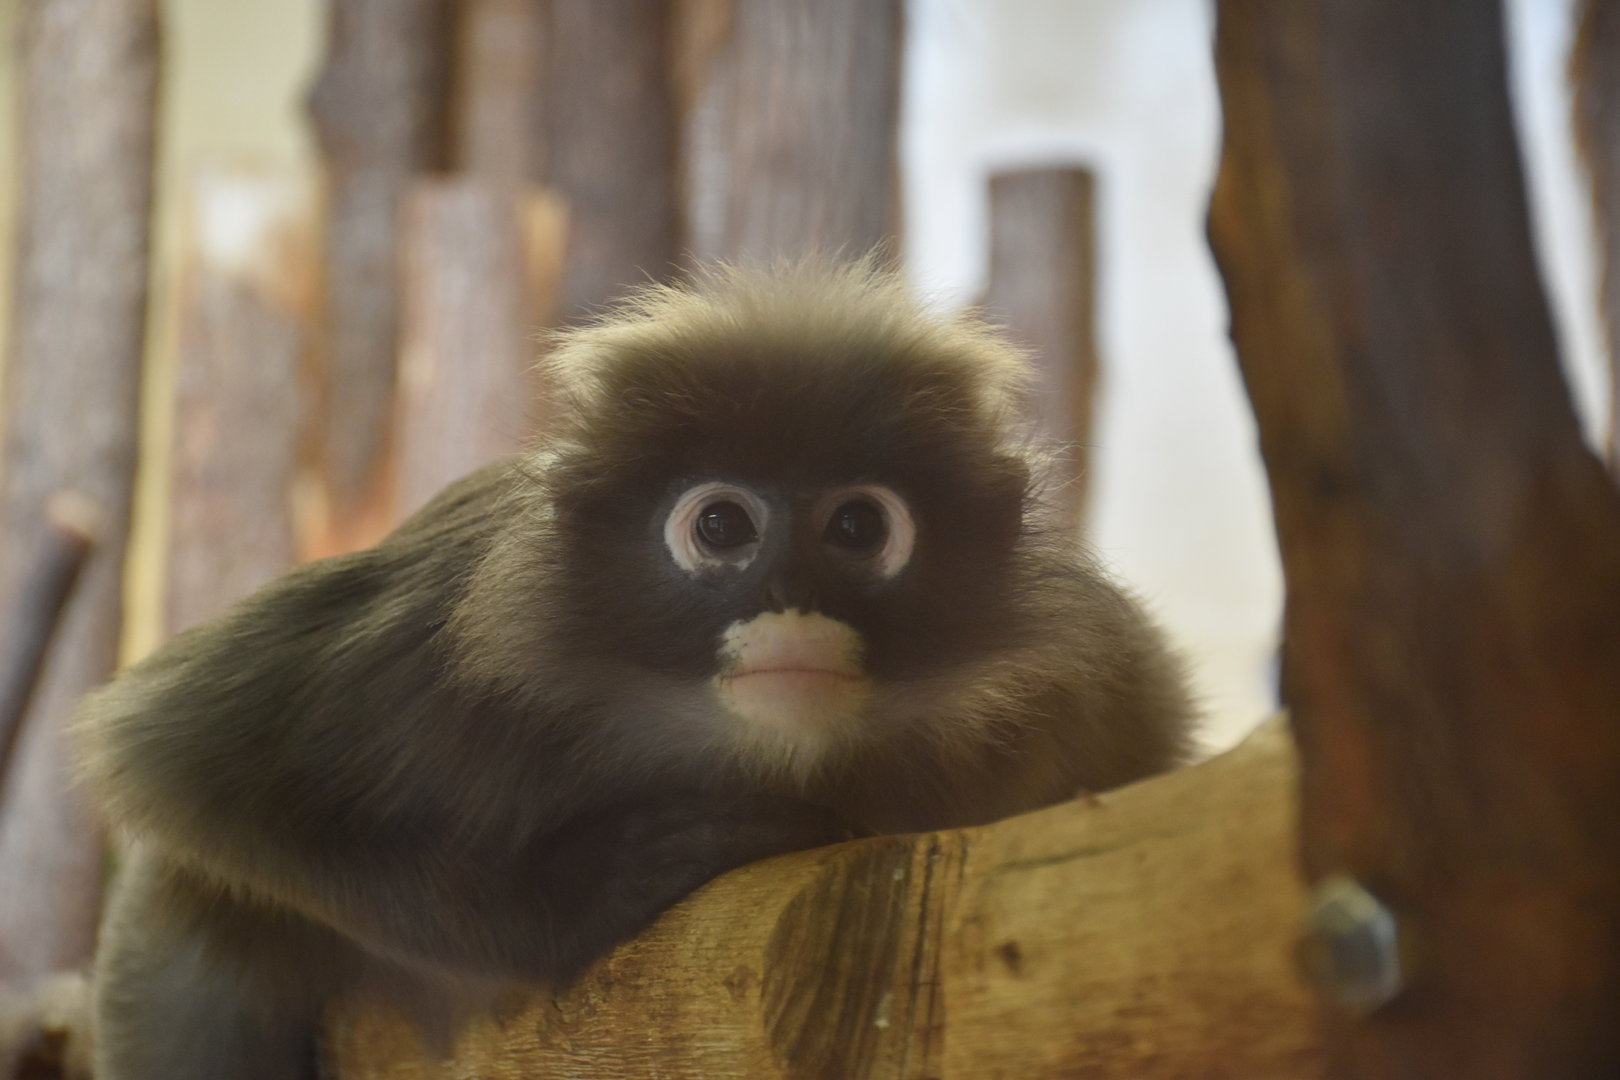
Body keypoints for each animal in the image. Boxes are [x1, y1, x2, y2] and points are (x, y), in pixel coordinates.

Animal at [75, 260, 1192, 1080]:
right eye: (722, 526)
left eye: (860, 527)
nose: (791, 599)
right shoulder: (422, 646)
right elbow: (179, 760)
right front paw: (592, 889)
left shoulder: (1089, 684)